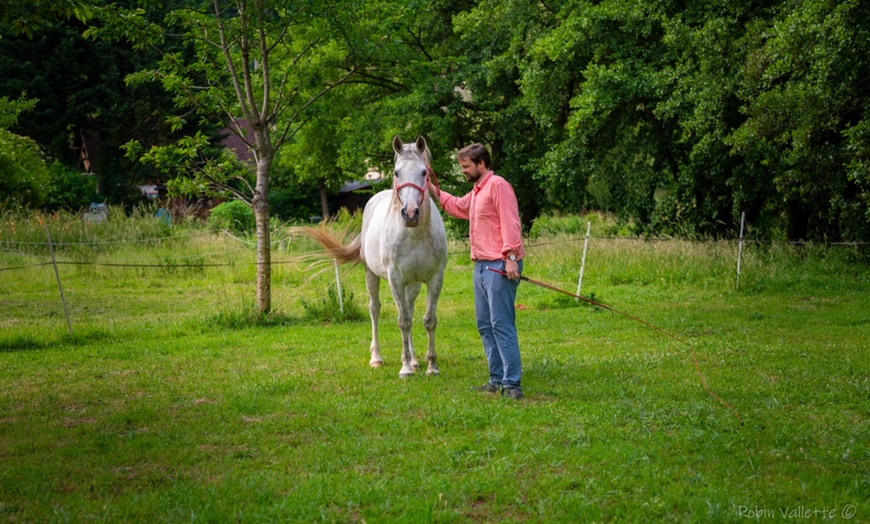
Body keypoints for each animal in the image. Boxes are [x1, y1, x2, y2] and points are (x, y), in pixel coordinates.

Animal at [302, 136, 450, 376]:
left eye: (424, 172)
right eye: (397, 172)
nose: (410, 213)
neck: (415, 233)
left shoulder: (435, 278)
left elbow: (428, 320)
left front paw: (431, 366)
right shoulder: (395, 278)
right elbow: (403, 321)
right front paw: (405, 368)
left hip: (413, 284)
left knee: (409, 309)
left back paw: (415, 360)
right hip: (371, 274)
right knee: (375, 309)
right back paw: (377, 358)